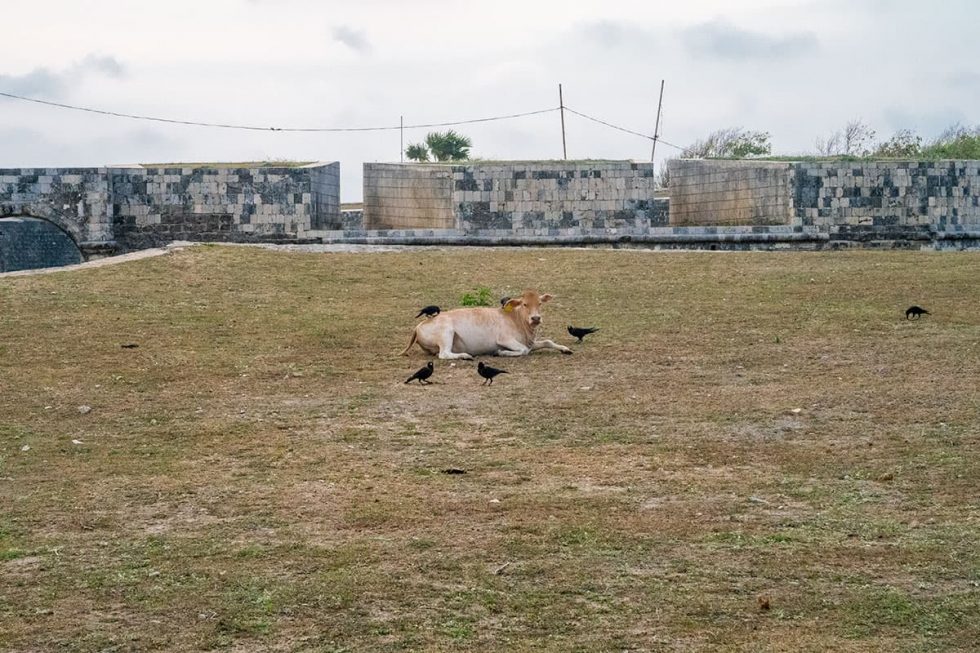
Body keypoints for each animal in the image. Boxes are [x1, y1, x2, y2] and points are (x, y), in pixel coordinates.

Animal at [400, 290, 576, 360]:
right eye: (525, 304)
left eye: (539, 303)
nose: (536, 318)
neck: (515, 319)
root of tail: (419, 325)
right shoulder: (504, 339)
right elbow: (523, 350)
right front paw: (500, 353)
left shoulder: (531, 342)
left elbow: (548, 341)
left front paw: (565, 349)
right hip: (446, 333)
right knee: (444, 354)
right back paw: (465, 356)